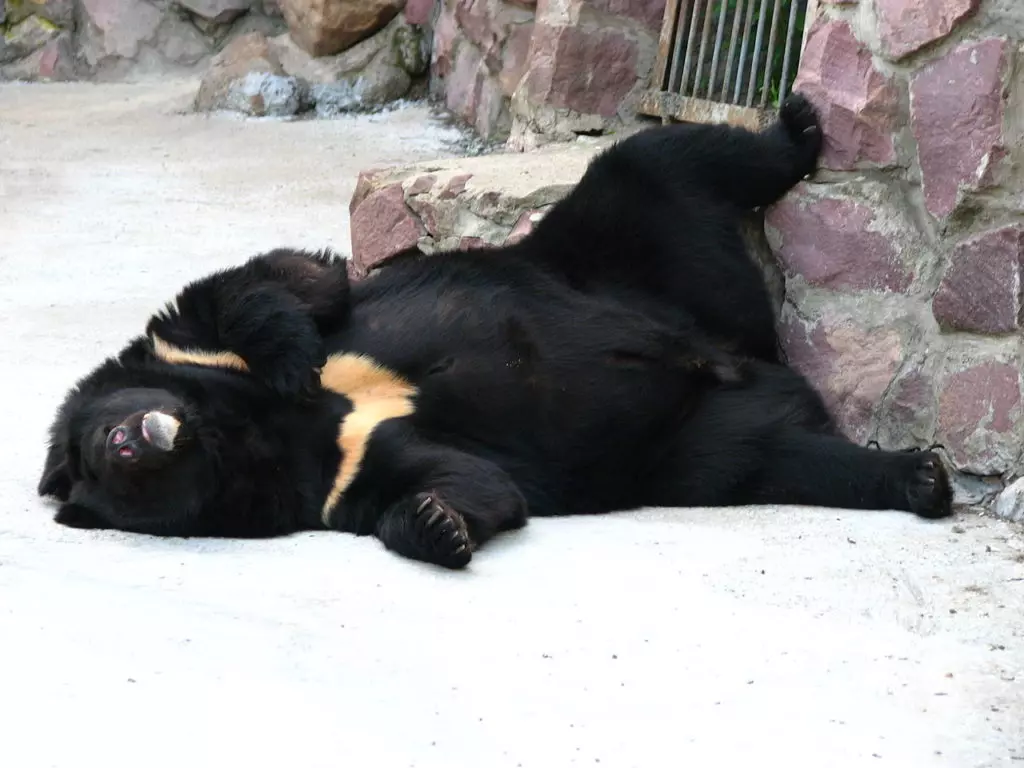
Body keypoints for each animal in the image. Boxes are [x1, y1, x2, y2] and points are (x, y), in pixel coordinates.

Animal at [37, 93, 950, 569]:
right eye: (106, 470)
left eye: (94, 444)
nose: (131, 439)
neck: (246, 427)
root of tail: (739, 356)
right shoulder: (327, 476)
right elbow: (454, 477)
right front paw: (438, 524)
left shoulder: (183, 348)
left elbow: (271, 284)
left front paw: (295, 359)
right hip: (693, 446)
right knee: (785, 460)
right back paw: (918, 479)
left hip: (621, 247)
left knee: (668, 160)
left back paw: (796, 126)